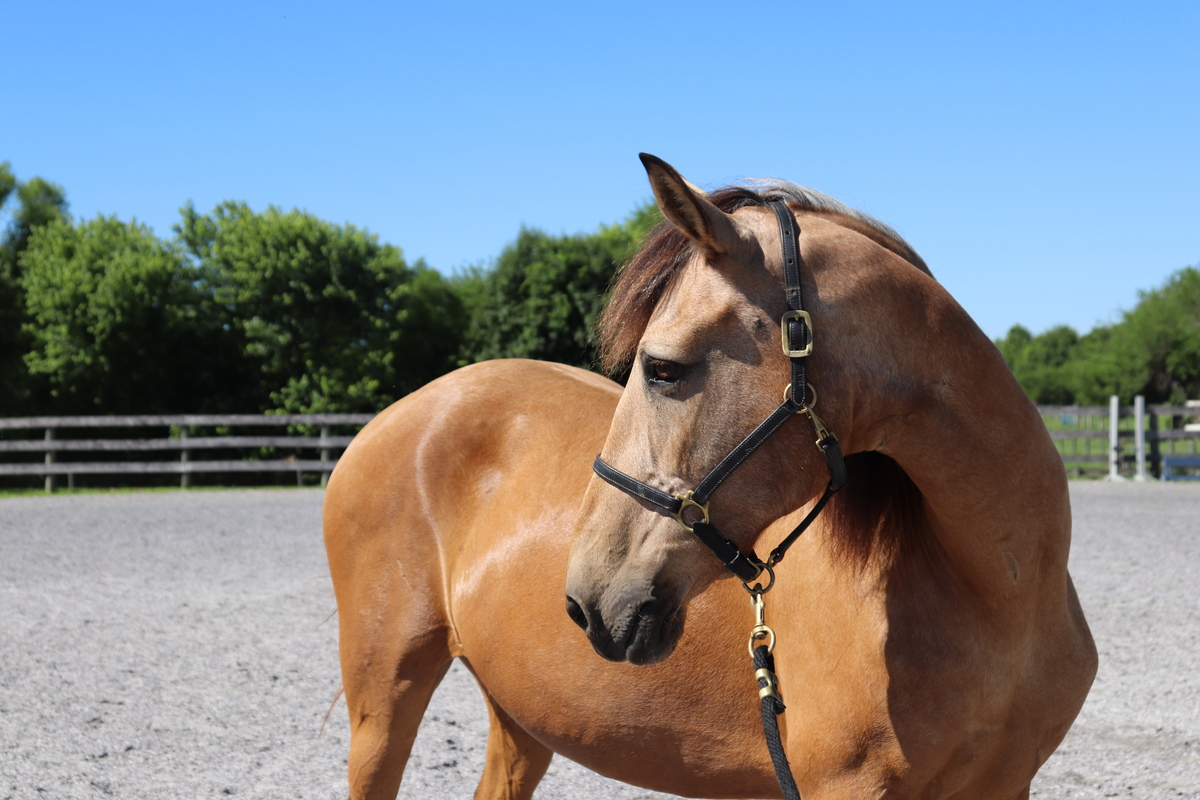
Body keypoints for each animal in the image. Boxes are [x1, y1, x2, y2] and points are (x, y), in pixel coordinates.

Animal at [323, 154, 1097, 800]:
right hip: (384, 698)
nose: (587, 603)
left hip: (519, 714)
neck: (997, 593)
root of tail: (396, 415)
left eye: (664, 368)